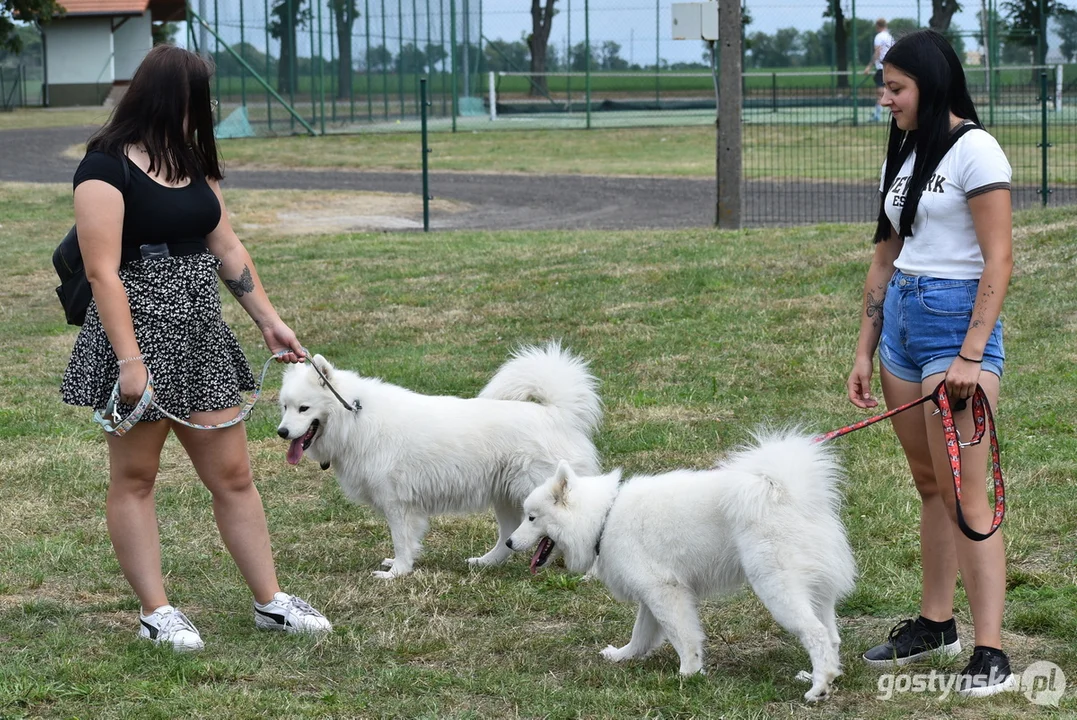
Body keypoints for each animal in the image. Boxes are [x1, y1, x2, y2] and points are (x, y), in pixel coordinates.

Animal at [275, 342, 607, 576]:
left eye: (304, 408)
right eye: (284, 407)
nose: (282, 432)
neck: (355, 418)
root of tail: (558, 414)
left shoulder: (397, 504)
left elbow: (401, 540)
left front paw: (397, 573)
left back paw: (590, 574)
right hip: (509, 500)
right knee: (508, 539)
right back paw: (485, 563)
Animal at [506, 430, 857, 697]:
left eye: (531, 517)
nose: (508, 542)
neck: (603, 517)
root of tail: (788, 494)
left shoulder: (665, 591)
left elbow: (684, 636)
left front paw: (688, 673)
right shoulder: (652, 593)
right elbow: (641, 635)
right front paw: (622, 656)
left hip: (777, 589)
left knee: (816, 634)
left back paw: (818, 688)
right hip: (815, 593)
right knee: (832, 636)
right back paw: (823, 675)